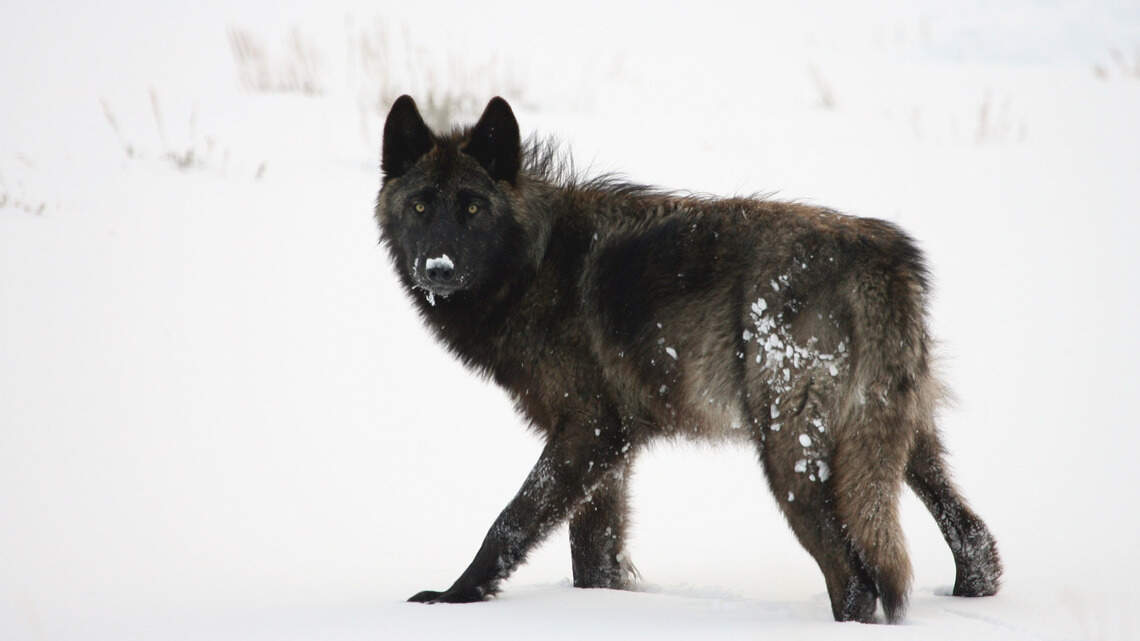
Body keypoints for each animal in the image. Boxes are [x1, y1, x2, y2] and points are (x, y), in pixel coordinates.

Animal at [374, 95, 1001, 623]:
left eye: (473, 208)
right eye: (421, 205)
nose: (437, 268)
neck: (534, 264)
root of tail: (881, 257)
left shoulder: (589, 431)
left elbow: (510, 523)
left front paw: (452, 597)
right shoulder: (611, 451)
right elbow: (593, 558)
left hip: (790, 456)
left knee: (855, 580)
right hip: (899, 442)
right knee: (975, 540)